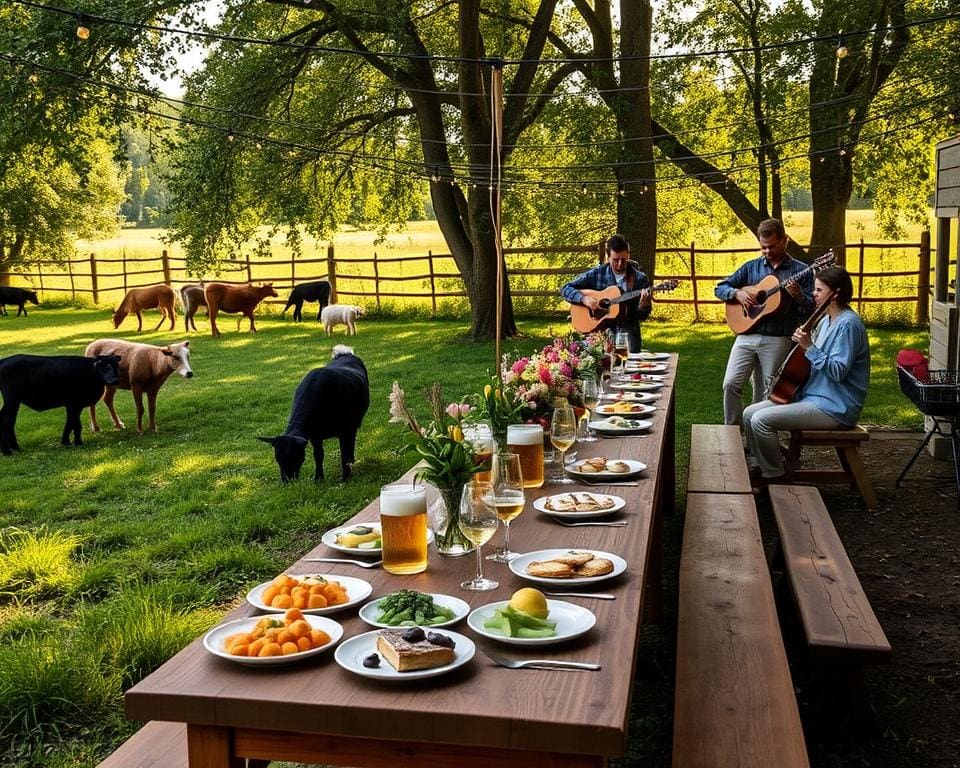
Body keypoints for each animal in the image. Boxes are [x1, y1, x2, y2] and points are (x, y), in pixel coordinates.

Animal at [256, 346, 370, 480]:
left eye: (294, 456)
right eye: (277, 459)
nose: (286, 480)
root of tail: (345, 354)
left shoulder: (344, 431)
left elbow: (344, 452)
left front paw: (345, 477)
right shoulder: (315, 436)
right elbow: (318, 455)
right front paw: (318, 478)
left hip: (353, 424)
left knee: (351, 443)